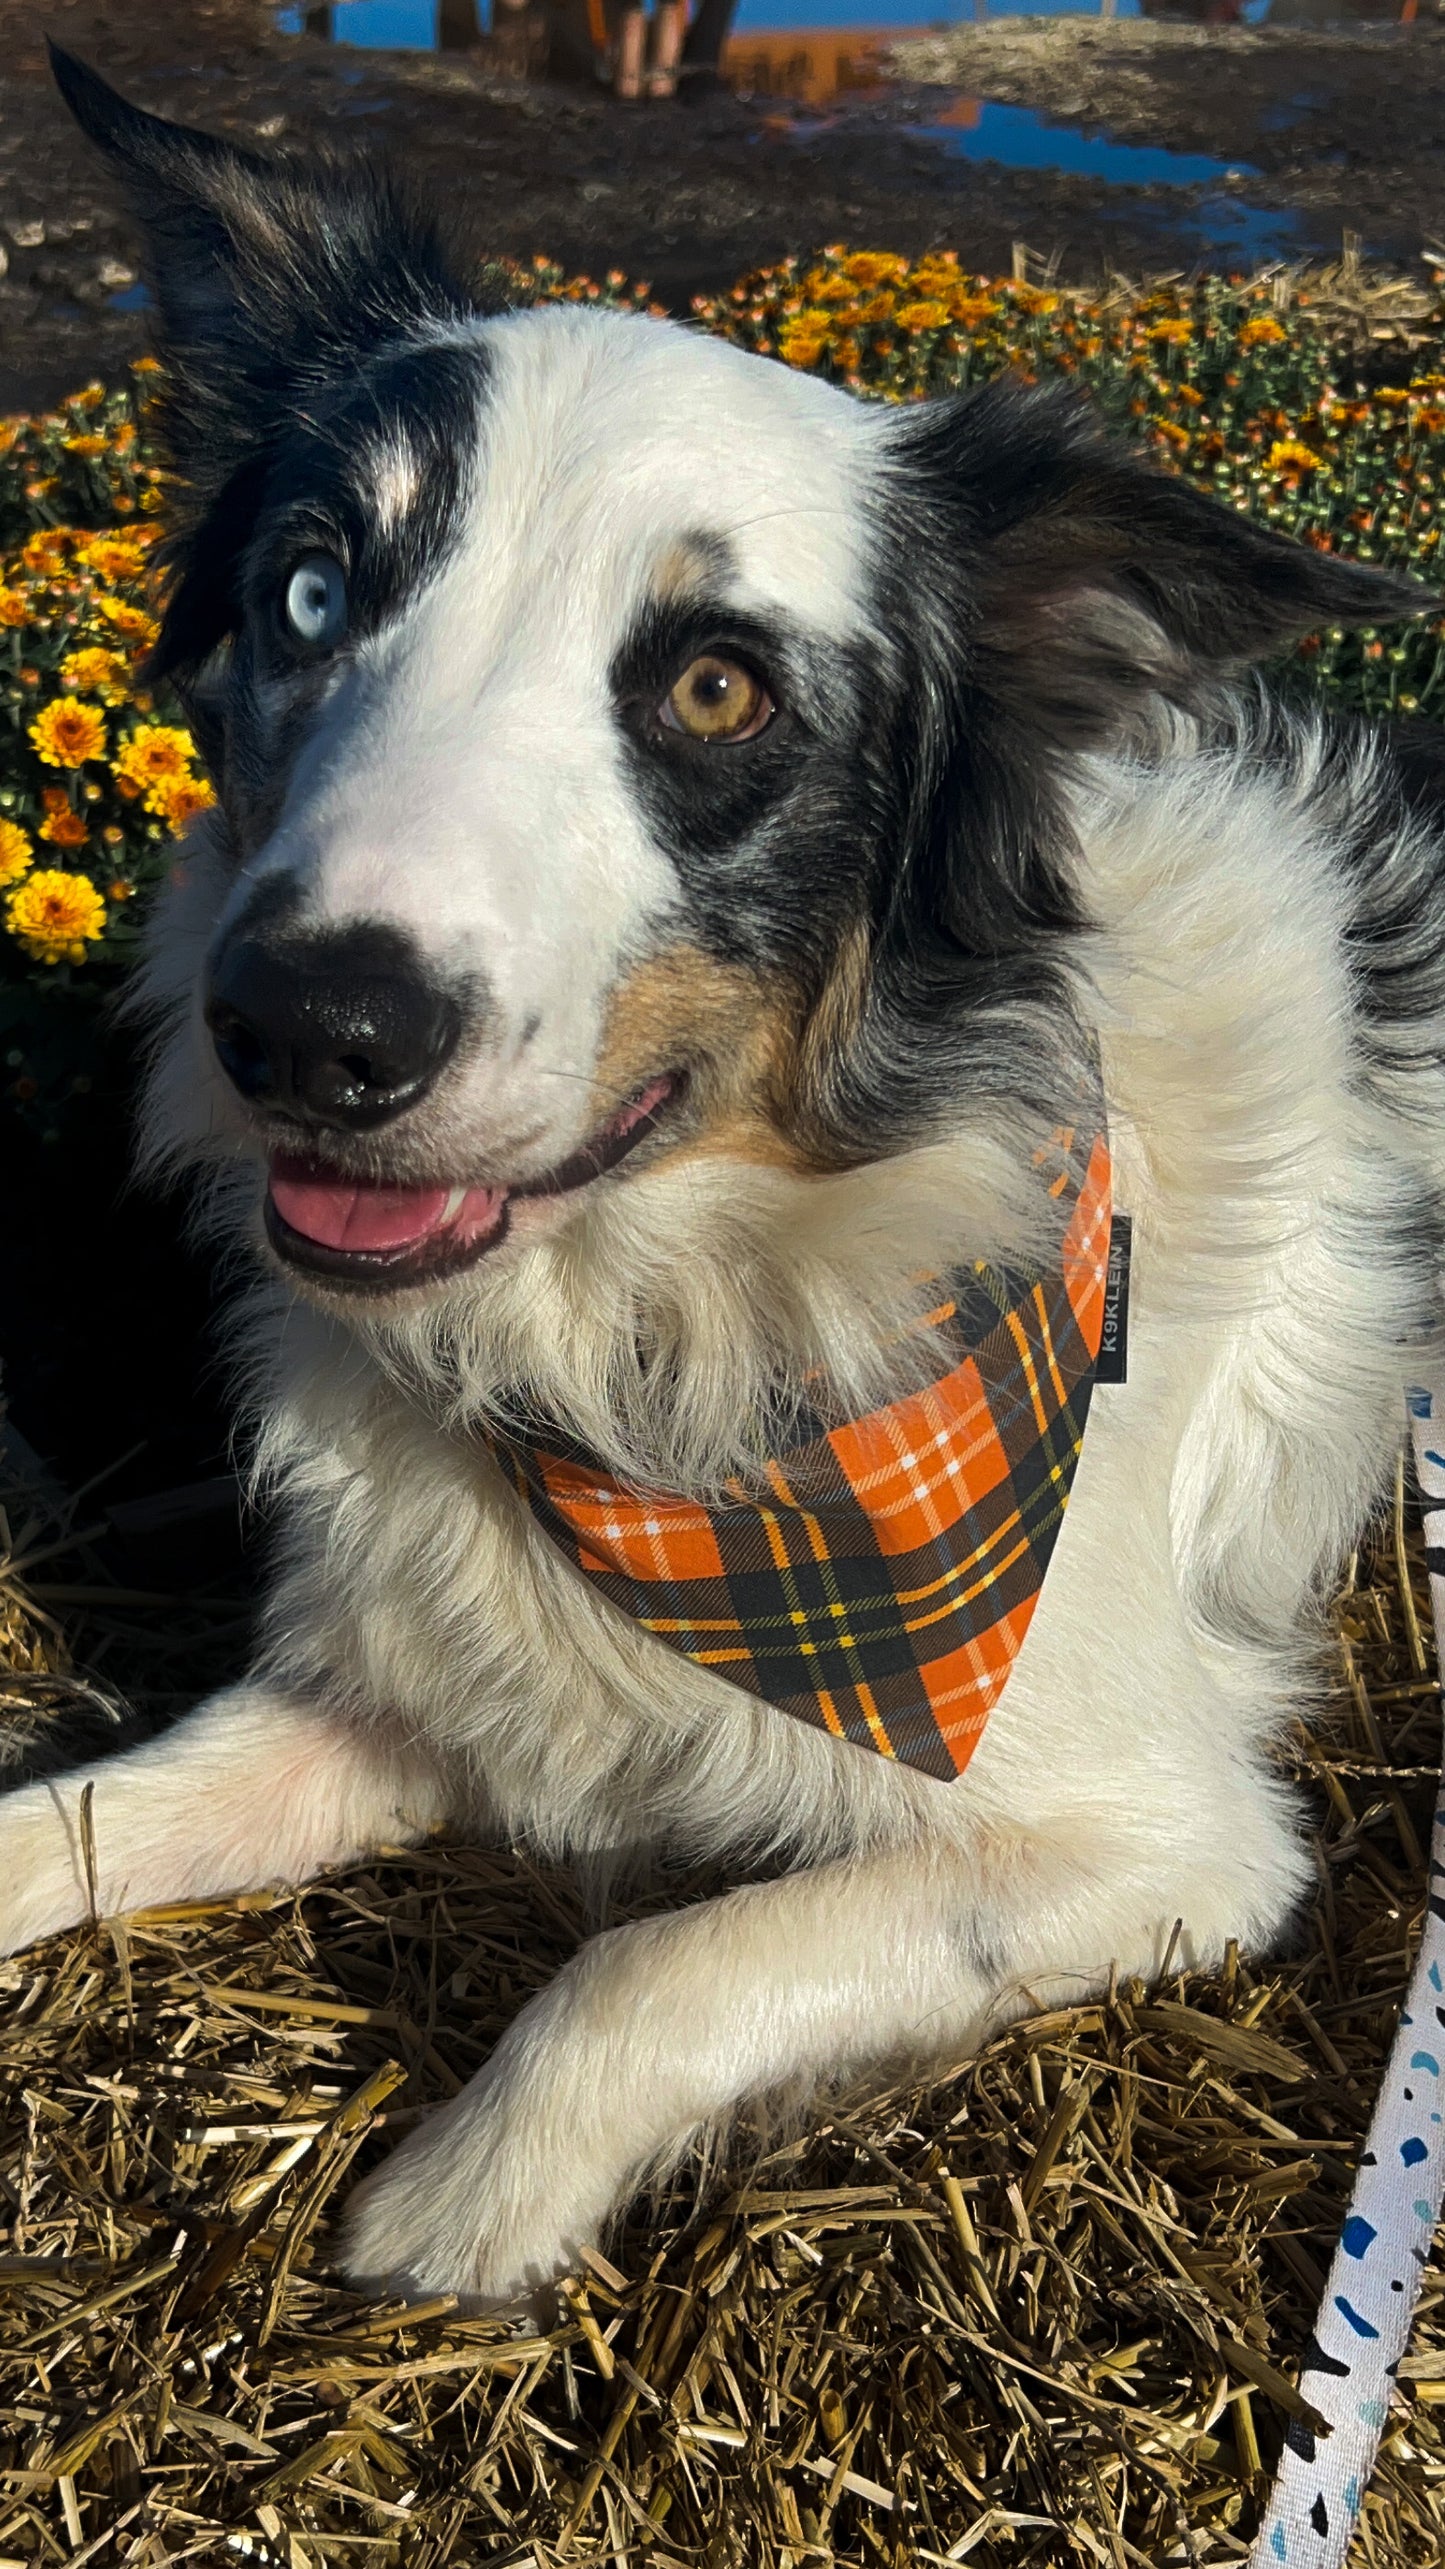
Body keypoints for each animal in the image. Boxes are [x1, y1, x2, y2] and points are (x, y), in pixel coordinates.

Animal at [11, 50, 1439, 2312]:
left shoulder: (1163, 1837)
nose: (309, 1030)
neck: (670, 1331)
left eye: (708, 687)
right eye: (314, 590)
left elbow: (661, 1956)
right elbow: (97, 1806)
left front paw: (458, 2205)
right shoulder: (423, 1668)